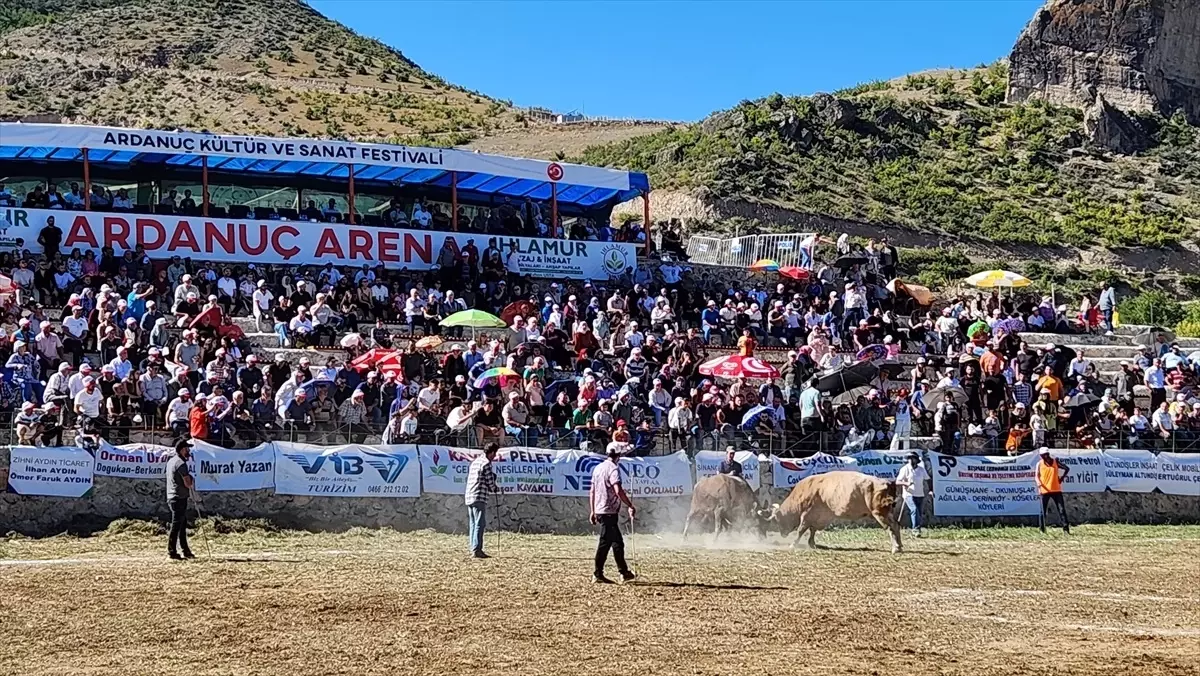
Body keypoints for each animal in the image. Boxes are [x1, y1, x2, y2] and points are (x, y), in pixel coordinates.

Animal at [768, 473, 902, 552]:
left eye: (777, 520)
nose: (782, 534)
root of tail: (888, 483)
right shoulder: (821, 517)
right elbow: (813, 529)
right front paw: (812, 543)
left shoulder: (807, 514)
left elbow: (801, 530)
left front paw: (793, 544)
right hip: (887, 512)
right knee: (896, 525)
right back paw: (899, 546)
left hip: (880, 513)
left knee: (891, 527)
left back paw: (896, 548)